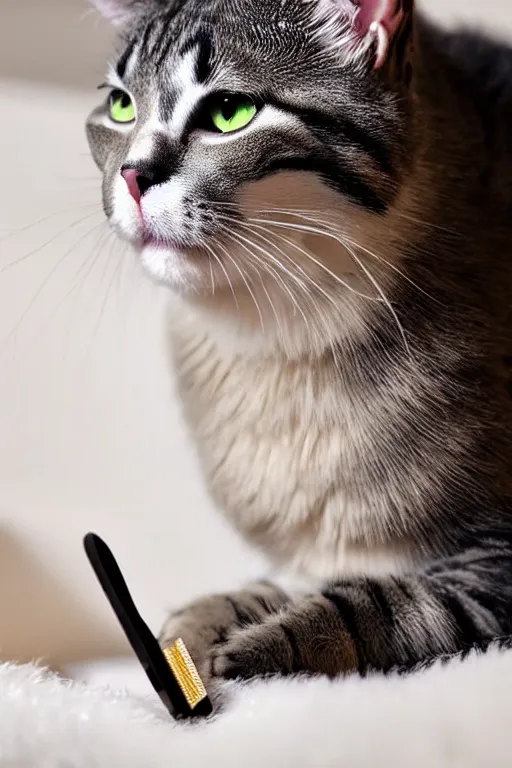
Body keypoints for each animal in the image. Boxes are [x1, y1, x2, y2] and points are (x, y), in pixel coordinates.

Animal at [87, 0, 512, 692]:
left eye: (229, 111)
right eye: (121, 105)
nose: (130, 175)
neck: (282, 338)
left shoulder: (493, 563)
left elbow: (380, 603)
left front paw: (262, 646)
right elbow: (264, 587)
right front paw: (205, 621)